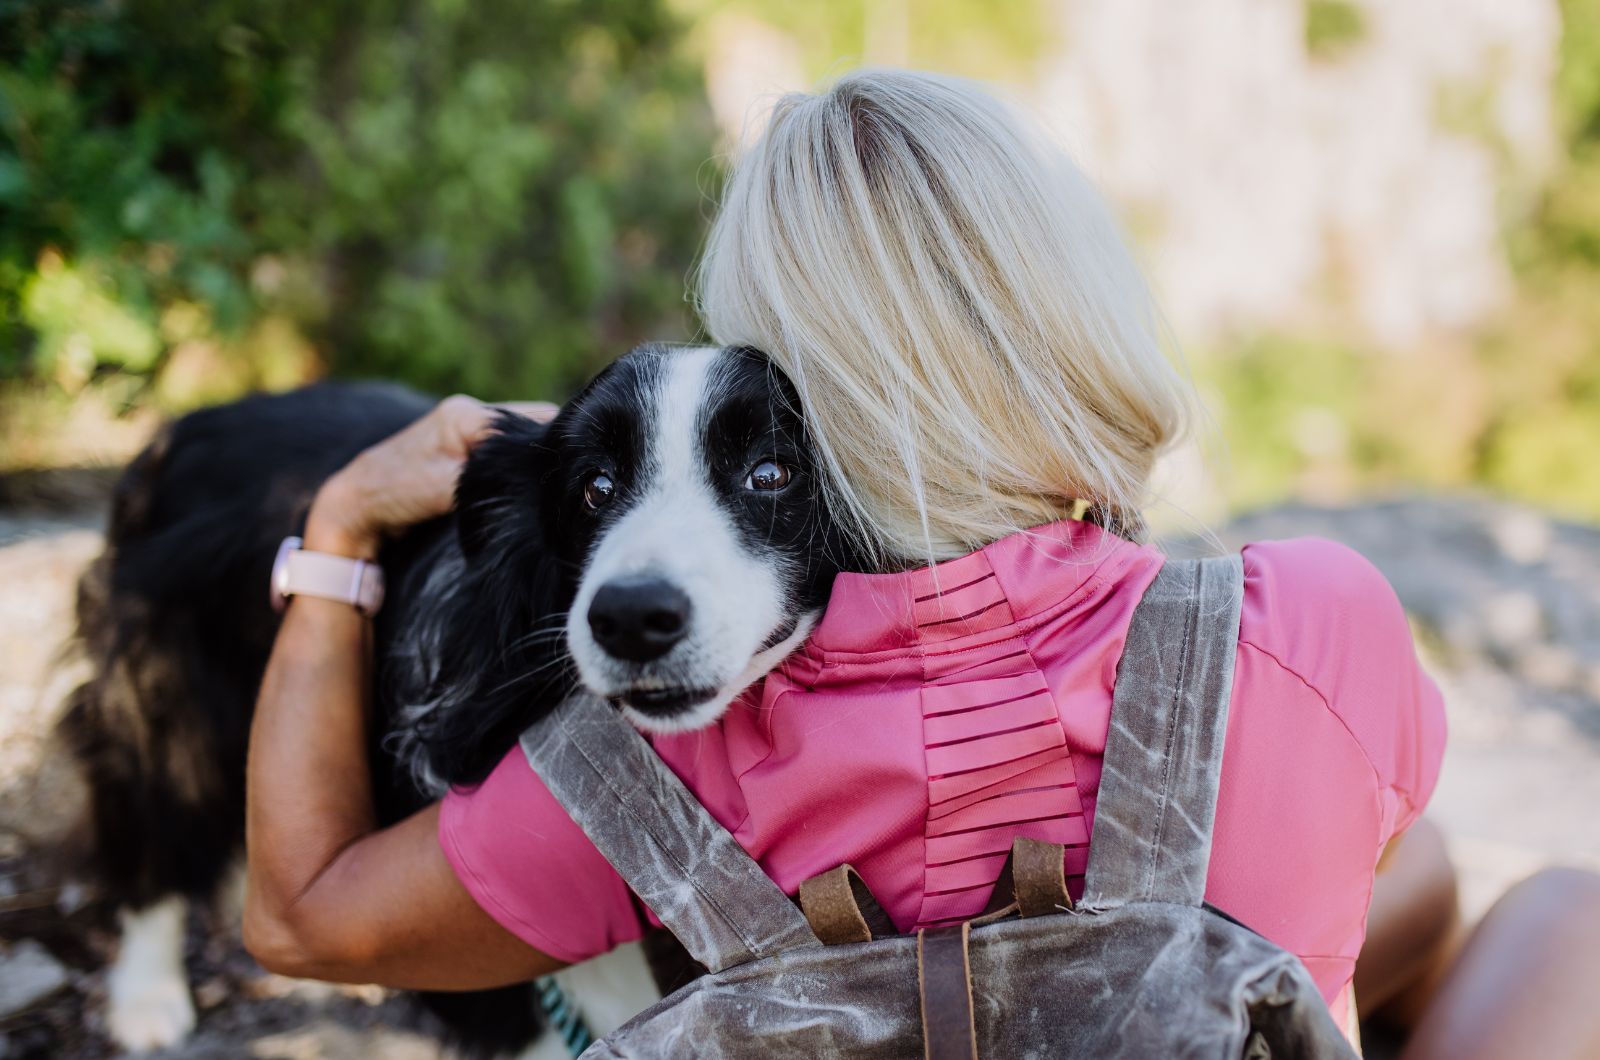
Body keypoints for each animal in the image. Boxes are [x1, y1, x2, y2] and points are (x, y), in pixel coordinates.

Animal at [59, 344, 864, 1056]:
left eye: (771, 472)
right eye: (595, 487)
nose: (631, 618)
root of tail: (182, 429)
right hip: (165, 681)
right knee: (154, 809)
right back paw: (148, 1000)